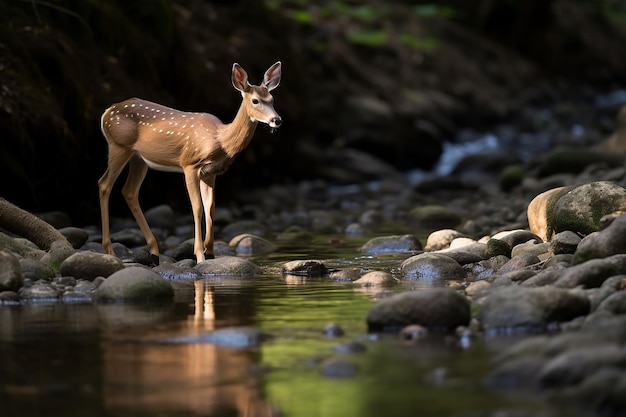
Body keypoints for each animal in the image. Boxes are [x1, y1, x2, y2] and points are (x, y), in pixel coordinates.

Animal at [98, 61, 282, 264]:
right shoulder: (189, 164)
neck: (219, 139)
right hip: (119, 146)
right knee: (104, 184)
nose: (277, 120)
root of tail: (106, 112)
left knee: (129, 191)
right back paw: (110, 251)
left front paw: (211, 253)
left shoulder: (211, 172)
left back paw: (154, 251)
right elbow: (197, 207)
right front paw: (200, 255)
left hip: (139, 158)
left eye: (272, 99)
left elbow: (211, 207)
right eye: (255, 100)